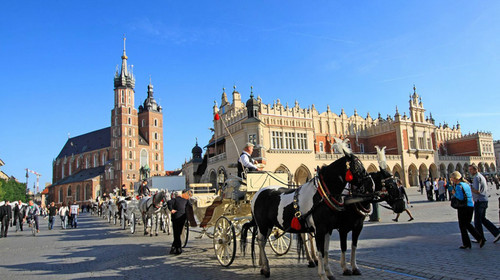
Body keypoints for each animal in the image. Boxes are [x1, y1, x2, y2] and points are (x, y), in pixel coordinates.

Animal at [242, 141, 376, 278]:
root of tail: (258, 193)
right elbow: (320, 251)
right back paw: (266, 268)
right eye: (357, 166)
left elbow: (326, 251)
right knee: (261, 242)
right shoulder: (321, 229)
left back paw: (263, 267)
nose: (371, 184)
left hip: (268, 225)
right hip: (263, 225)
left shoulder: (328, 229)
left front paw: (329, 273)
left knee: (260, 241)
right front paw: (322, 274)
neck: (321, 195)